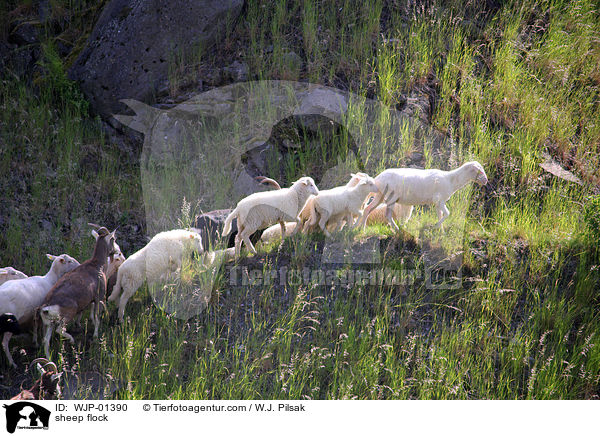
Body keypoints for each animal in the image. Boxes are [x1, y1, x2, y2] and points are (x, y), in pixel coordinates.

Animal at [39, 225, 118, 358]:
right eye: (113, 239)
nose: (117, 251)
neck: (97, 266)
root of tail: (47, 307)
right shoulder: (99, 298)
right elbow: (97, 318)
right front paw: (95, 336)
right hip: (66, 316)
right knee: (60, 330)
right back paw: (71, 341)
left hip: (49, 323)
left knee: (46, 340)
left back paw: (49, 358)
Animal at [356, 161, 488, 232]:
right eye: (479, 170)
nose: (486, 180)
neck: (451, 179)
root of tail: (377, 179)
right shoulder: (439, 200)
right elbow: (447, 213)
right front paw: (436, 226)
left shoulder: (438, 203)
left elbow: (440, 214)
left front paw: (441, 231)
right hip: (391, 197)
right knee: (387, 215)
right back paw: (397, 229)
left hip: (380, 196)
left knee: (367, 209)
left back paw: (362, 229)